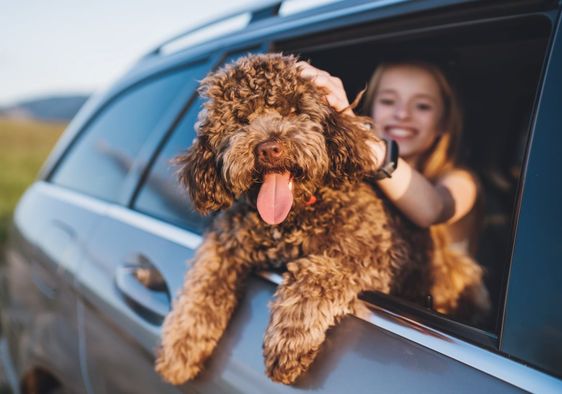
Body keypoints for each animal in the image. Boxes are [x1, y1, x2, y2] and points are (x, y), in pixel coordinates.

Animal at [155, 52, 488, 384]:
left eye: (294, 109)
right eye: (241, 118)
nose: (269, 148)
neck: (294, 216)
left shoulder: (373, 251)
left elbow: (315, 274)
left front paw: (289, 341)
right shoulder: (226, 241)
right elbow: (203, 284)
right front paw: (180, 347)